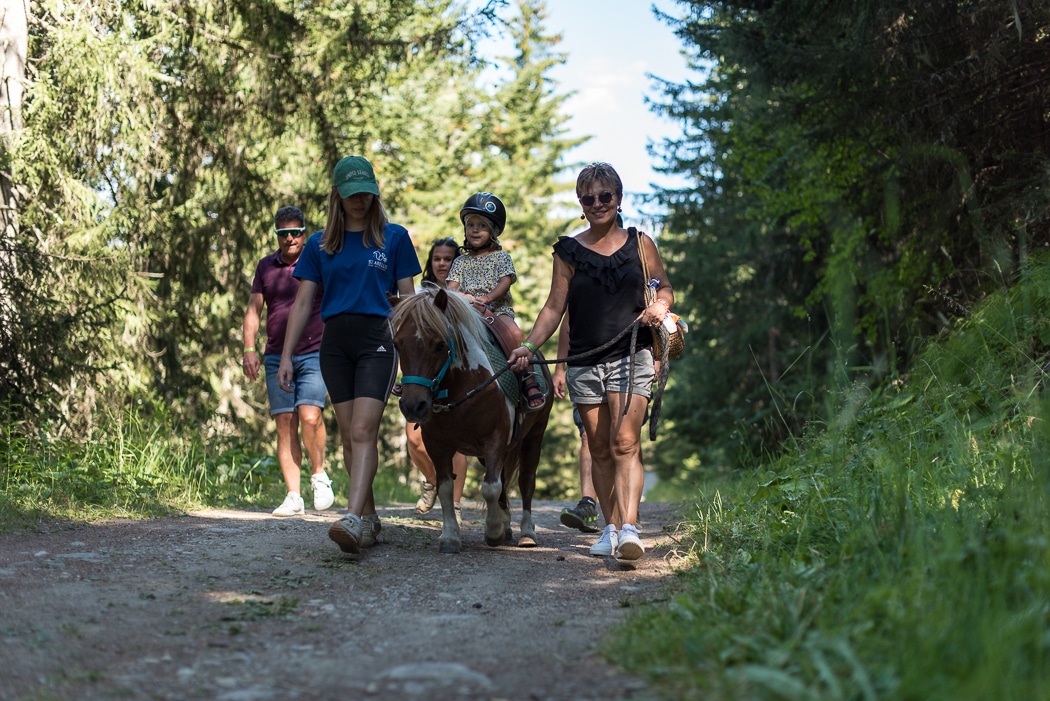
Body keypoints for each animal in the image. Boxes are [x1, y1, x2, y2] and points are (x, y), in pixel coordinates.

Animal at [390, 285, 554, 554]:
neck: (464, 385)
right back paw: (507, 526)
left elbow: (490, 488)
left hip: (533, 437)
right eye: (398, 344)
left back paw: (526, 532)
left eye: (439, 345)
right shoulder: (437, 445)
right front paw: (450, 537)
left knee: (525, 481)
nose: (413, 405)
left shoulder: (495, 440)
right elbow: (446, 488)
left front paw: (493, 533)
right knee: (503, 482)